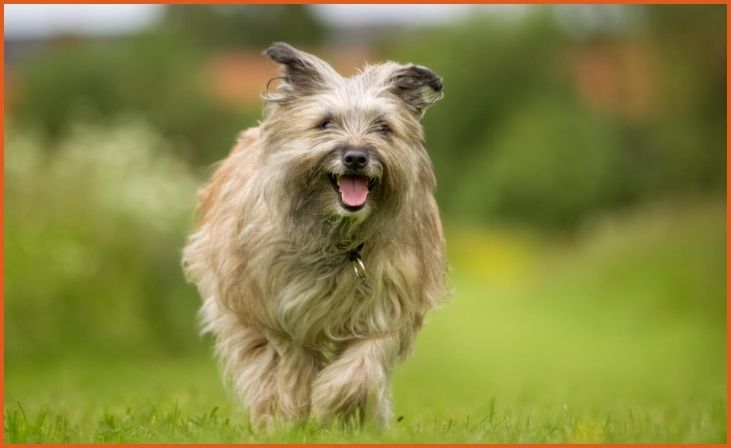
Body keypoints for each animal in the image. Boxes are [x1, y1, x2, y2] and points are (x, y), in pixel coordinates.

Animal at [183, 43, 446, 430]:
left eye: (383, 127)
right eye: (325, 123)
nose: (356, 157)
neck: (341, 241)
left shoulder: (390, 304)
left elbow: (362, 366)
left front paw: (336, 405)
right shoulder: (280, 311)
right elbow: (294, 364)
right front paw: (297, 413)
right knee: (259, 365)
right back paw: (271, 416)